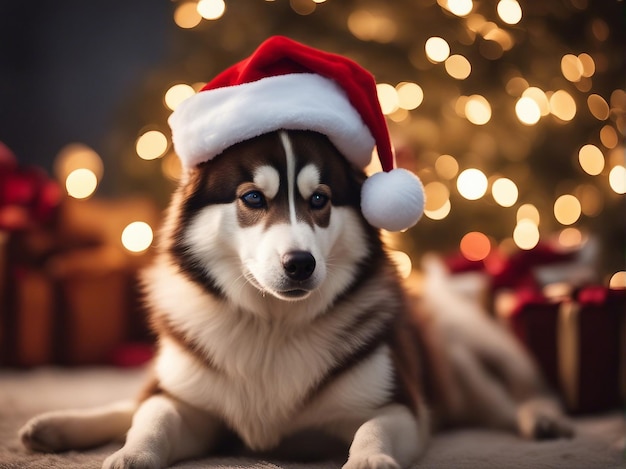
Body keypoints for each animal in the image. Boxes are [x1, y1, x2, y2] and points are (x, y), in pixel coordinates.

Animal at [19, 129, 572, 468]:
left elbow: (376, 428)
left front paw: (368, 457)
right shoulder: (195, 407)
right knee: (133, 401)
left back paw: (542, 417)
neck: (270, 326)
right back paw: (55, 426)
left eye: (319, 200)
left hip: (462, 352)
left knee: (506, 396)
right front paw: (133, 453)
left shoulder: (402, 404)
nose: (300, 264)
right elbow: (153, 417)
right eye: (252, 198)